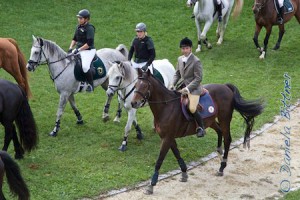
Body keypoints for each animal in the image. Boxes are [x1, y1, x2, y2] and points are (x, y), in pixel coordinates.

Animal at [130, 69, 264, 195]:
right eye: (135, 85)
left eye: (145, 86)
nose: (133, 103)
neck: (166, 107)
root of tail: (225, 86)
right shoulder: (169, 137)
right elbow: (177, 154)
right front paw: (184, 173)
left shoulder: (167, 138)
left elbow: (159, 161)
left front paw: (151, 185)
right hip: (210, 121)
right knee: (219, 131)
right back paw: (218, 150)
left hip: (224, 119)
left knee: (227, 139)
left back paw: (222, 167)